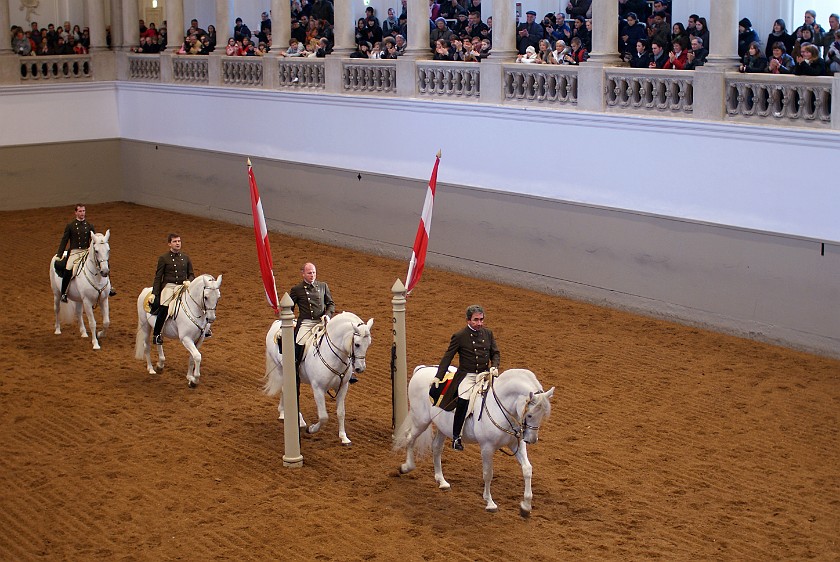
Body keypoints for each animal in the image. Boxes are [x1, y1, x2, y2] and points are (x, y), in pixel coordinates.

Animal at [266, 308, 374, 444]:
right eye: (357, 344)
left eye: (369, 344)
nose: (360, 368)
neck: (333, 355)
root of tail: (276, 324)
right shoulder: (318, 389)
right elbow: (323, 417)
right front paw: (311, 429)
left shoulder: (343, 387)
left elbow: (341, 412)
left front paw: (344, 437)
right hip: (283, 370)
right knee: (288, 391)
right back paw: (298, 420)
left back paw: (283, 413)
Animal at [396, 366, 556, 516]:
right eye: (529, 415)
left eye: (542, 415)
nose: (531, 440)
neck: (500, 407)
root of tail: (422, 369)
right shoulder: (487, 447)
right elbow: (488, 473)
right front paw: (490, 503)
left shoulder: (516, 444)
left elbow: (527, 469)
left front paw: (526, 506)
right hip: (421, 421)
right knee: (409, 438)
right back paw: (406, 467)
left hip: (443, 427)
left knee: (436, 448)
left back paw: (442, 481)